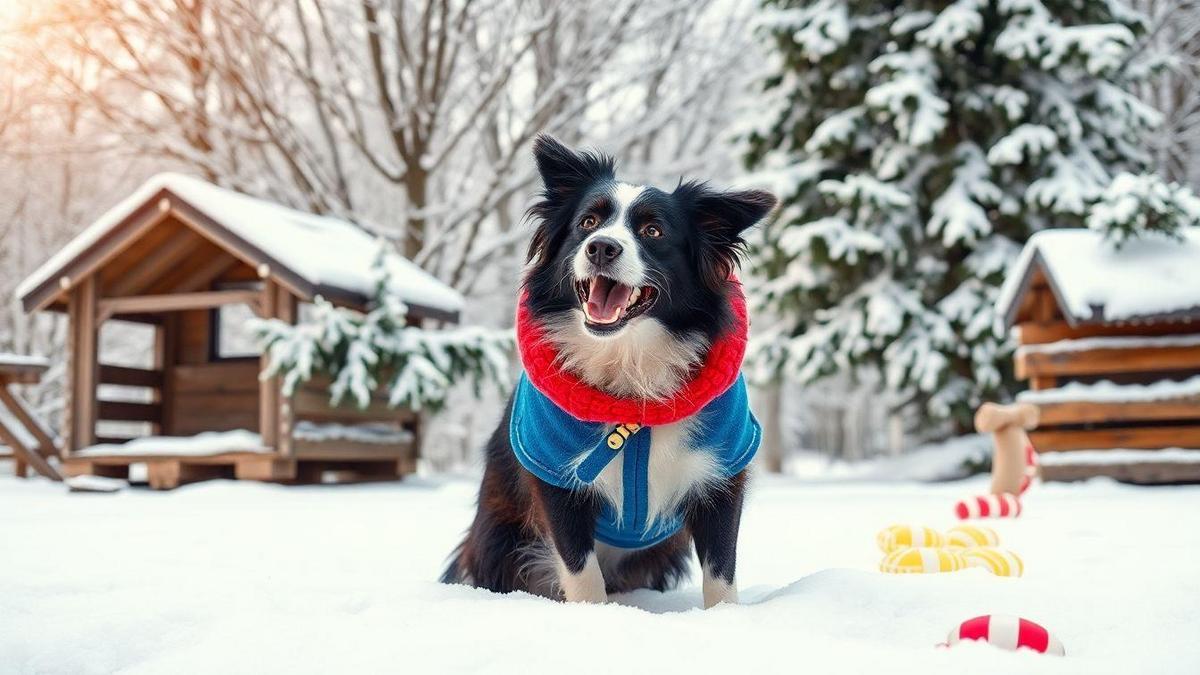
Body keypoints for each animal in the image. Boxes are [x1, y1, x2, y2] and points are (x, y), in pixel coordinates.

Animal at [444, 135, 777, 605]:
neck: (629, 370)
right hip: (498, 534)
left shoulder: (722, 475)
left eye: (654, 231)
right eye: (588, 222)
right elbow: (581, 570)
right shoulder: (555, 479)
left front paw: (725, 616)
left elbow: (721, 569)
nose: (601, 246)